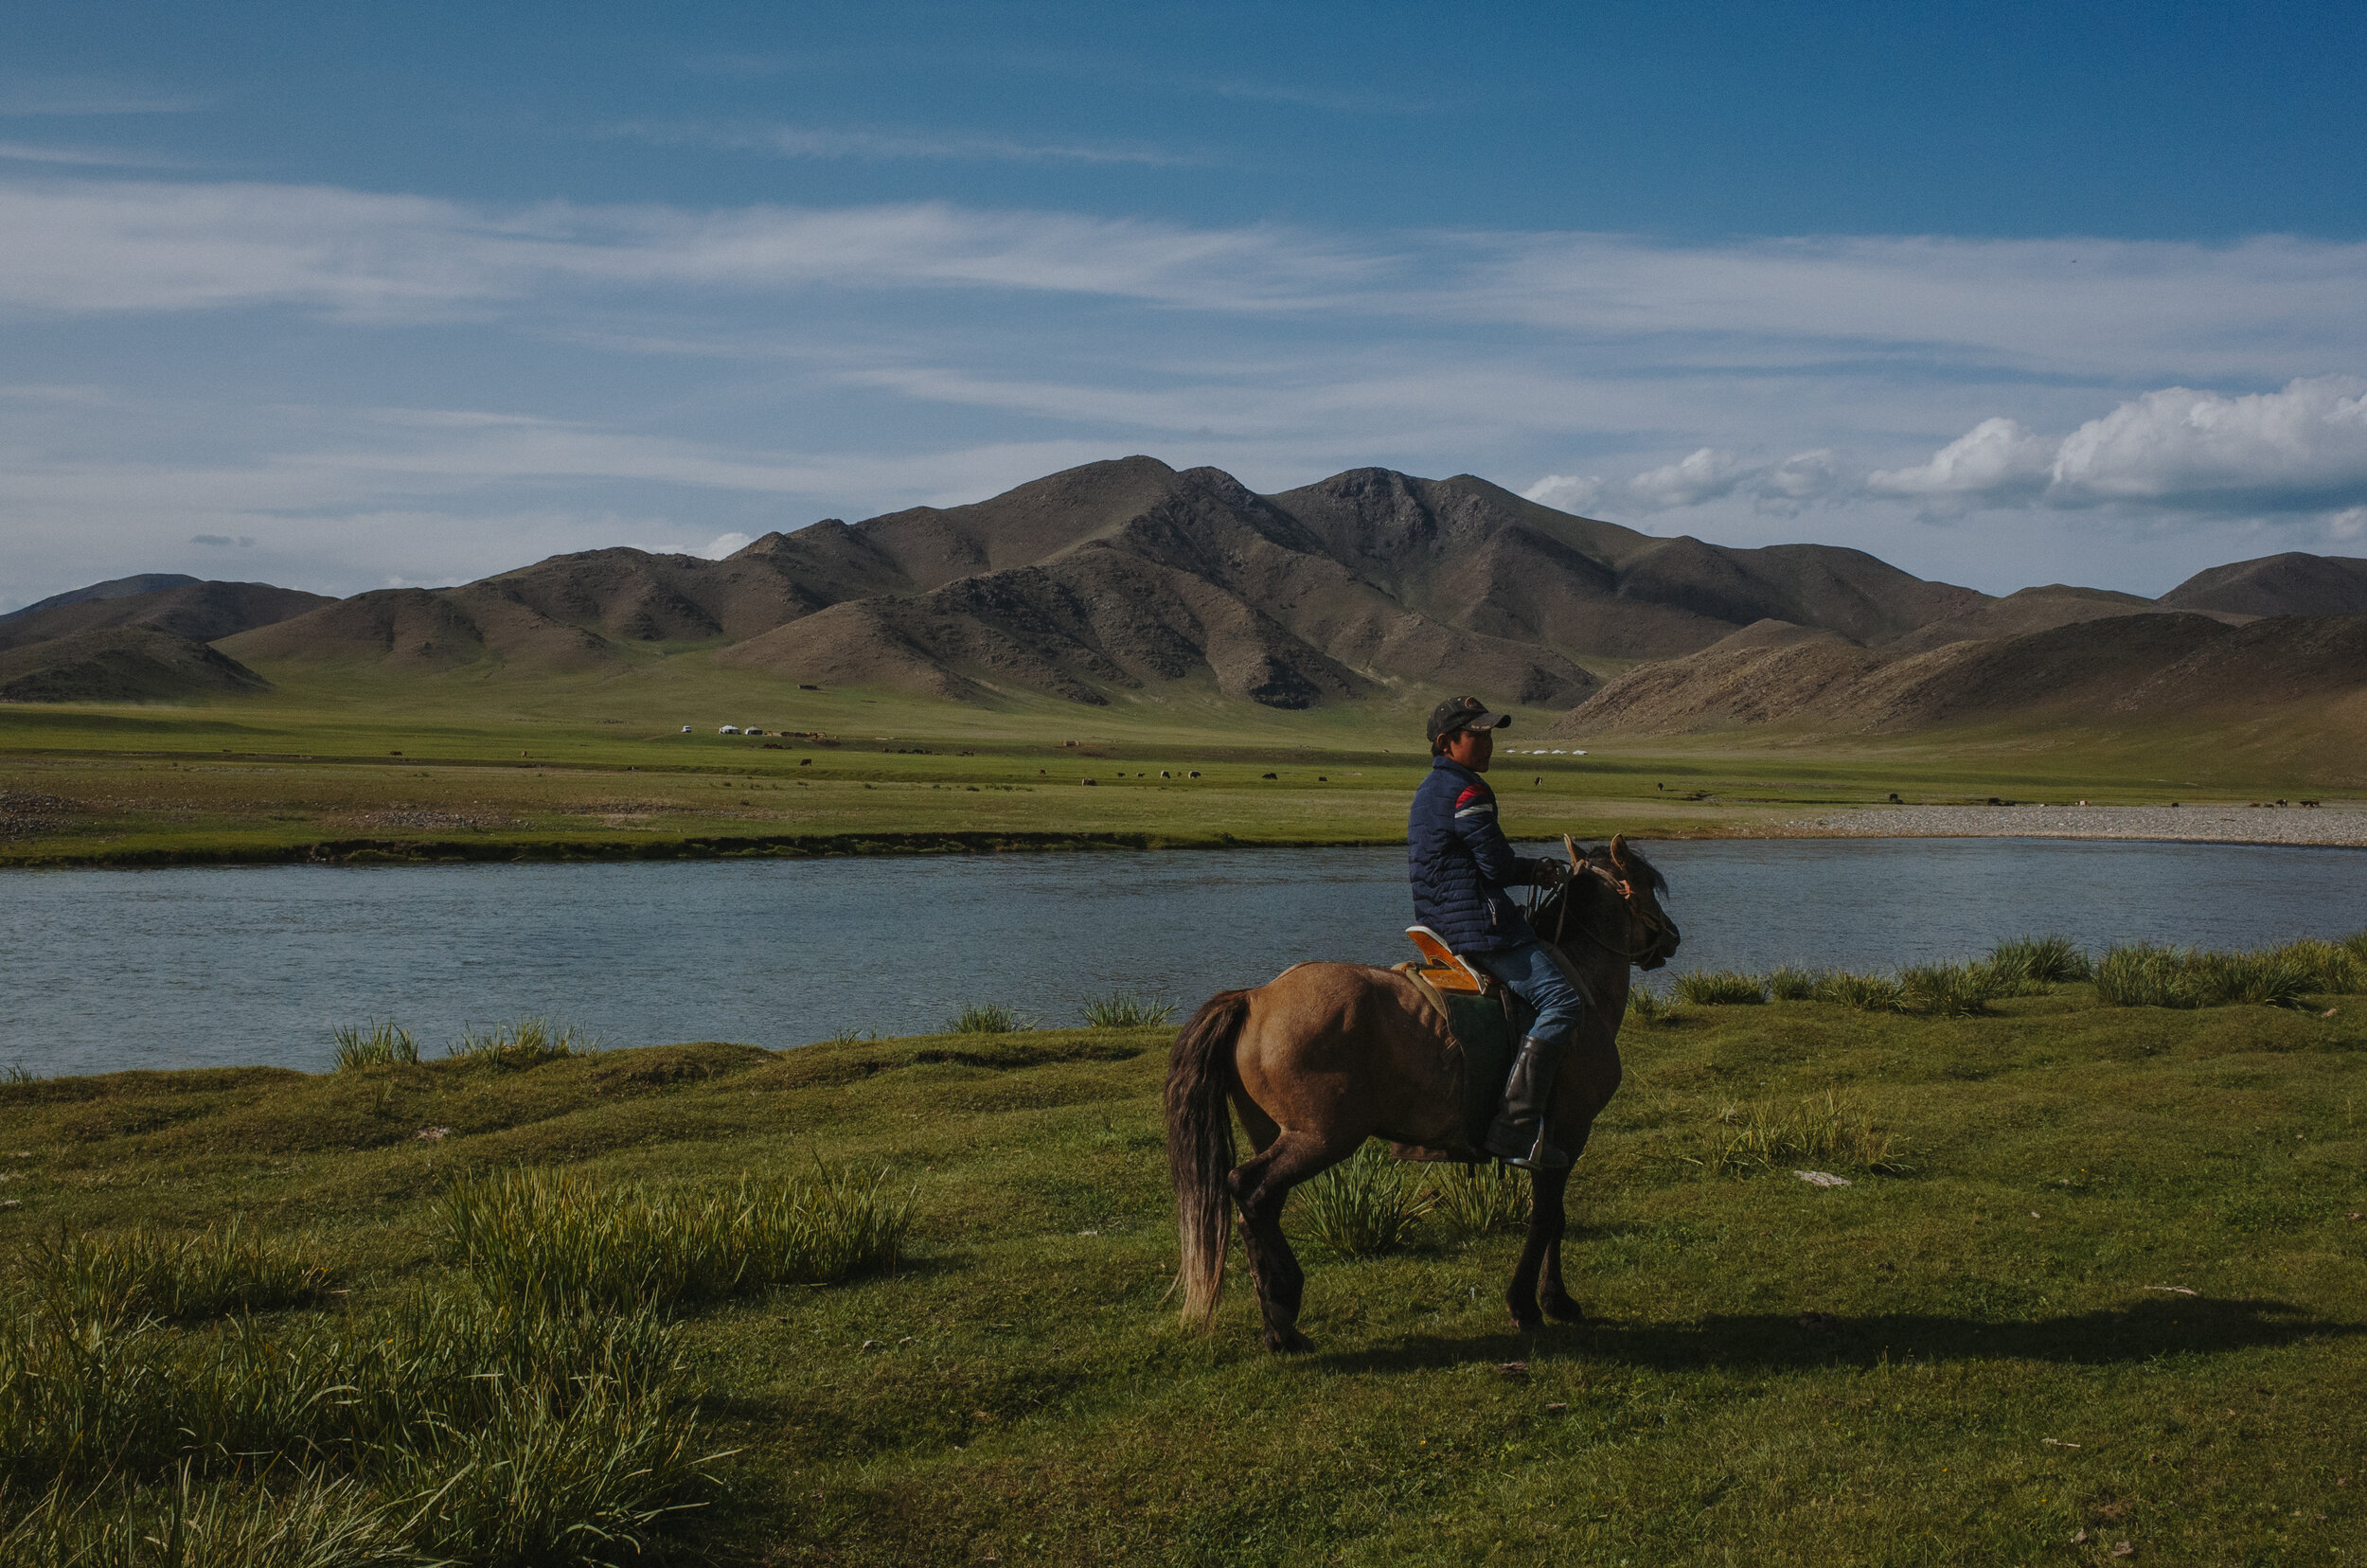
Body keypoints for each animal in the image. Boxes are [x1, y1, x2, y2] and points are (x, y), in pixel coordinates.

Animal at [1155, 843, 1676, 1354]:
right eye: (1647, 885)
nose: (1671, 937)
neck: (1582, 988)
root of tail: (1256, 998)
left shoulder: (1553, 1144)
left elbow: (1555, 1216)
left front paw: (1554, 1301)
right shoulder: (1568, 1130)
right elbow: (1547, 1218)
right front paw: (1534, 1304)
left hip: (1278, 1134)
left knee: (1258, 1211)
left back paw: (1280, 1326)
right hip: (1320, 1137)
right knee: (1250, 1189)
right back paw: (1285, 1306)